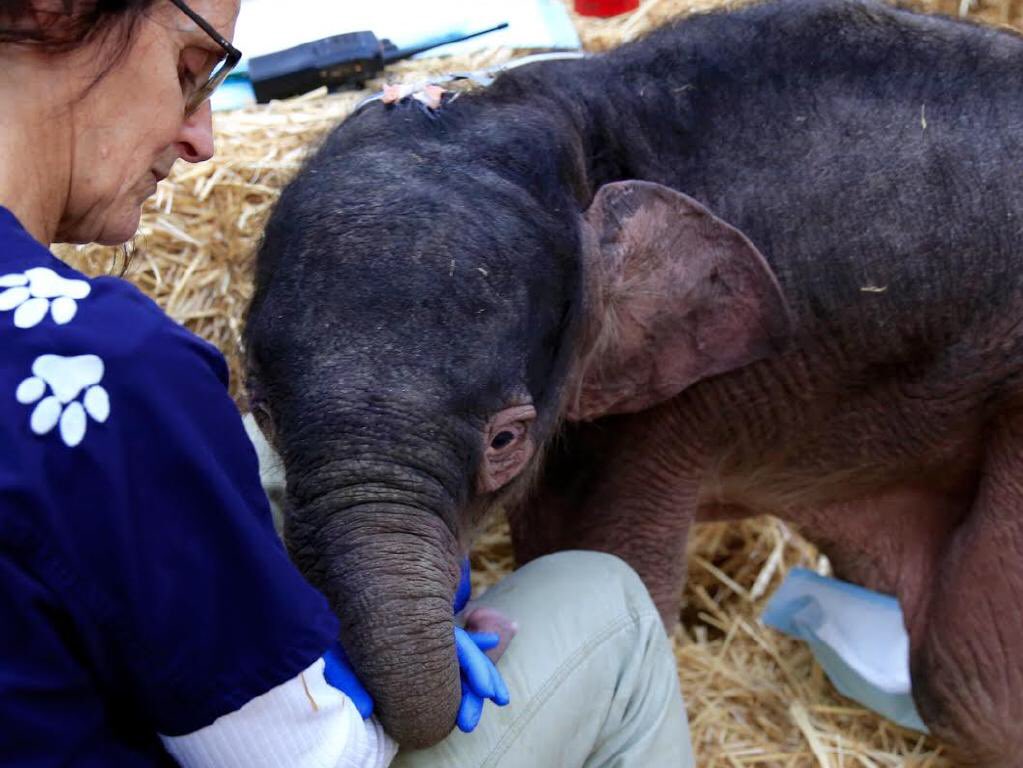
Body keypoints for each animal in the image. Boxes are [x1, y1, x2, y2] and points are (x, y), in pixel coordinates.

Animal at [243, 0, 1023, 762]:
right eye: (263, 413)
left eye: (506, 440)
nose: (480, 625)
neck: (566, 114)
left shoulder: (681, 400)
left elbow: (612, 563)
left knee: (967, 680)